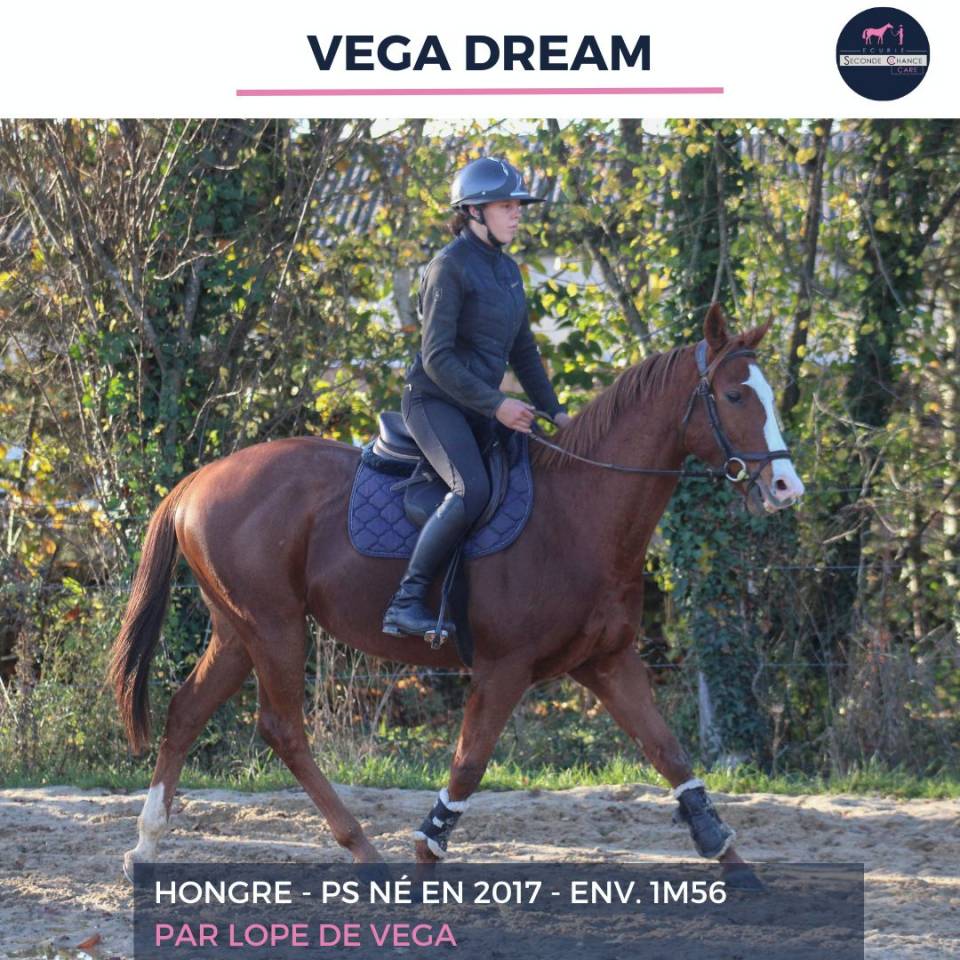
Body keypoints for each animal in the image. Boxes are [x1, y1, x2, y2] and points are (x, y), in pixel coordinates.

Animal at [109, 303, 804, 879]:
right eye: (735, 394)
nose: (785, 488)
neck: (580, 513)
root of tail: (198, 479)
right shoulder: (504, 668)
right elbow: (469, 764)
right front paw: (425, 855)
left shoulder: (609, 662)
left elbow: (670, 755)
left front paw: (730, 858)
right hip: (274, 626)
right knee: (283, 729)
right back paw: (364, 850)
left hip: (237, 631)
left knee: (186, 712)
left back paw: (146, 848)